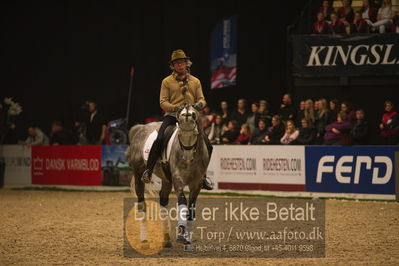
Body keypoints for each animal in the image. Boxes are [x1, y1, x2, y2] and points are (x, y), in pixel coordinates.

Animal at [126, 104, 211, 249]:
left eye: (195, 133)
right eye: (180, 134)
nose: (187, 158)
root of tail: (141, 128)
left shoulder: (197, 184)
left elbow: (191, 209)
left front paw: (188, 241)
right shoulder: (178, 180)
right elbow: (182, 203)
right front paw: (181, 234)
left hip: (166, 179)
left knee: (163, 201)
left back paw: (166, 239)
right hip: (138, 173)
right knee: (142, 204)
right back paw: (144, 240)